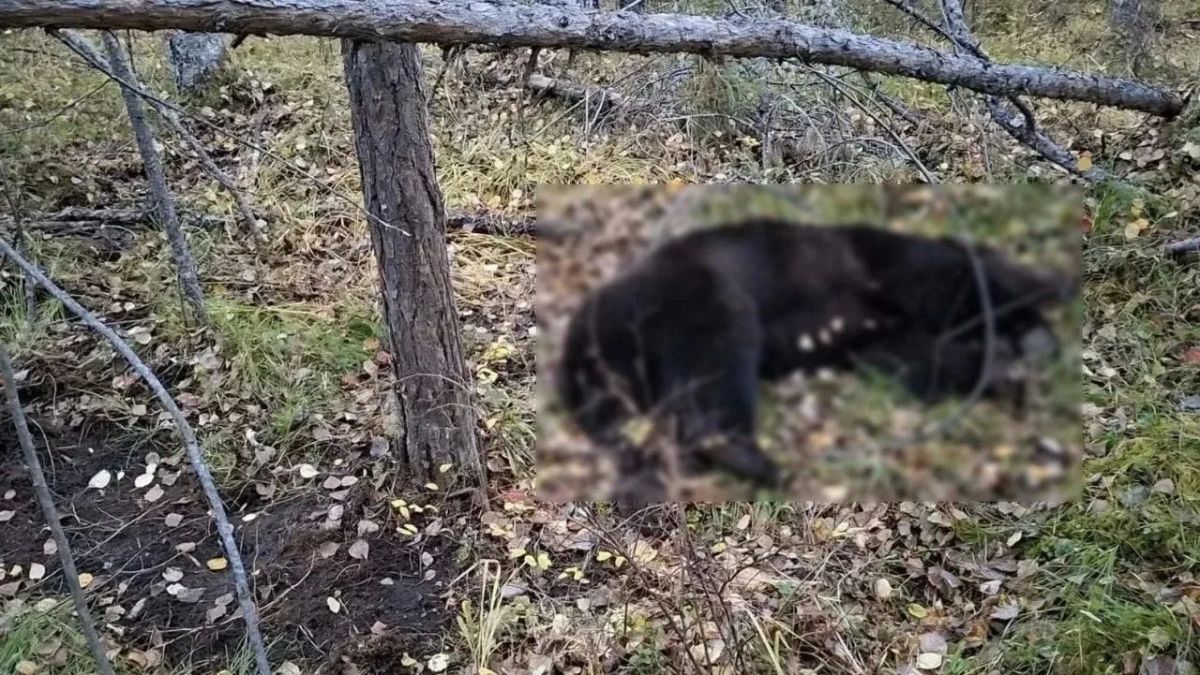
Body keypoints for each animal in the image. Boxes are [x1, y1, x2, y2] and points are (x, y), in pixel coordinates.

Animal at [553, 219, 1075, 509]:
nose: (1035, 347)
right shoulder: (900, 271)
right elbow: (957, 295)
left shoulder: (881, 334)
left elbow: (925, 363)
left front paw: (1006, 371)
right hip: (701, 294)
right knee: (716, 363)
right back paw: (753, 459)